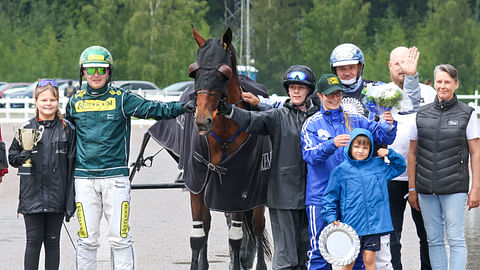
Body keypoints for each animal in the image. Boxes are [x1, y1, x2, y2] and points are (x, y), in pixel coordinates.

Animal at [187, 26, 270, 270]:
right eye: (194, 72)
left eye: (222, 73)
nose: (202, 120)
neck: (222, 135)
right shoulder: (198, 184)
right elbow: (198, 235)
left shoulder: (238, 186)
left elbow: (236, 238)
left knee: (257, 225)